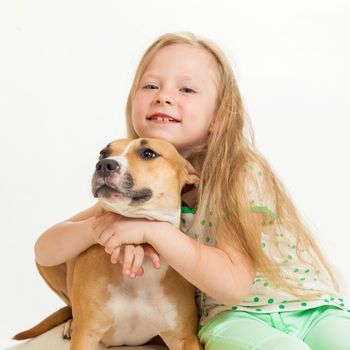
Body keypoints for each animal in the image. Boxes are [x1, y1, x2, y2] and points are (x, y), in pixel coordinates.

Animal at [15, 137, 202, 350]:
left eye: (148, 153)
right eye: (102, 154)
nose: (104, 165)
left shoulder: (184, 338)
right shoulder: (86, 334)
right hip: (47, 263)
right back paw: (70, 323)